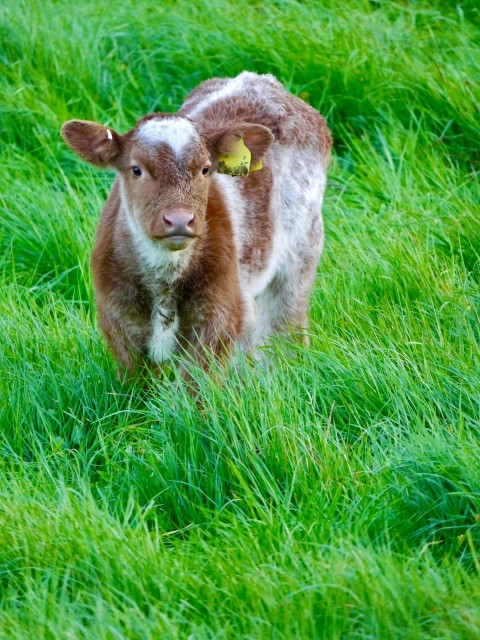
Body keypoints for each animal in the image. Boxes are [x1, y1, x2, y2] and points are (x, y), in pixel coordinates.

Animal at [60, 73, 332, 378]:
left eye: (205, 169)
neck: (164, 278)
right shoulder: (118, 318)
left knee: (283, 329)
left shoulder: (219, 315)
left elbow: (196, 383)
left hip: (302, 251)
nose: (179, 220)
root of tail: (261, 79)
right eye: (136, 169)